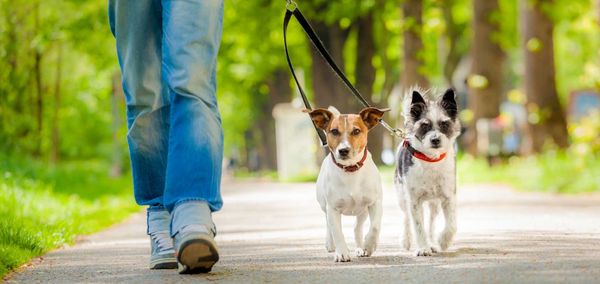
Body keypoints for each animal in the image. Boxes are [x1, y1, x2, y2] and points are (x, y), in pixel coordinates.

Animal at [304, 106, 390, 262]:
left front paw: (369, 245)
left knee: (357, 228)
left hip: (362, 211)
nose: (343, 150)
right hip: (324, 205)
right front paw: (342, 252)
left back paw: (360, 247)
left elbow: (375, 227)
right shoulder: (332, 208)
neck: (350, 170)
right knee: (328, 224)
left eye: (356, 131)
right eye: (334, 131)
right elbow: (337, 232)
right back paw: (330, 243)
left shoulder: (375, 203)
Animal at [396, 87, 462, 256]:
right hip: (402, 196)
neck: (431, 160)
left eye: (444, 124)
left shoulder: (448, 197)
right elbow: (418, 226)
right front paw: (422, 248)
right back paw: (407, 240)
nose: (435, 140)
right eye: (425, 125)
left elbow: (452, 224)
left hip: (434, 204)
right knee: (406, 218)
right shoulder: (414, 200)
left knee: (431, 223)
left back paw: (432, 242)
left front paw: (443, 242)